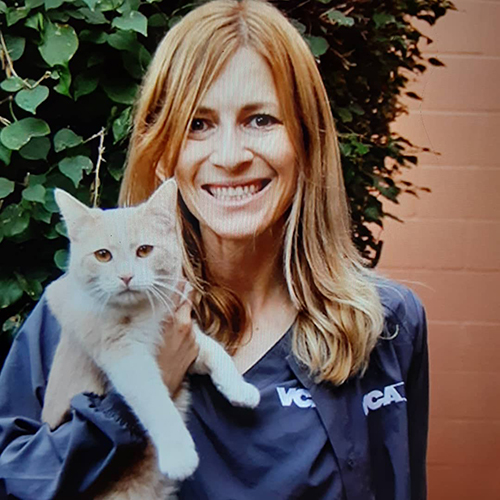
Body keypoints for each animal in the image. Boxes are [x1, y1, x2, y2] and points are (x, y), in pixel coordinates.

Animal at [42, 180, 260, 500]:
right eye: (102, 255)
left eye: (144, 250)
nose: (126, 277)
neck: (143, 311)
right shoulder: (126, 358)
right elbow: (155, 401)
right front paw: (179, 455)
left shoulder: (185, 337)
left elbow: (215, 350)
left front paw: (240, 389)